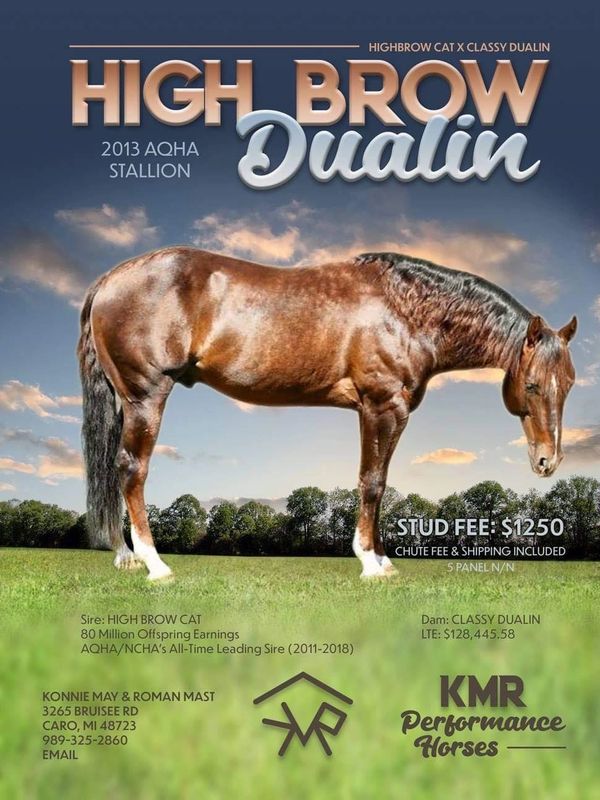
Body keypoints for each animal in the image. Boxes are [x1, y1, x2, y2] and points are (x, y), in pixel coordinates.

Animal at [78, 248, 577, 580]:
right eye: (532, 384)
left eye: (569, 384)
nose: (547, 461)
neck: (406, 311)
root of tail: (111, 279)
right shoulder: (381, 405)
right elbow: (371, 482)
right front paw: (370, 562)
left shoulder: (387, 412)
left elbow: (381, 481)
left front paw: (384, 560)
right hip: (146, 396)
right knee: (132, 469)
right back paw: (154, 563)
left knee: (114, 468)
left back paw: (124, 556)